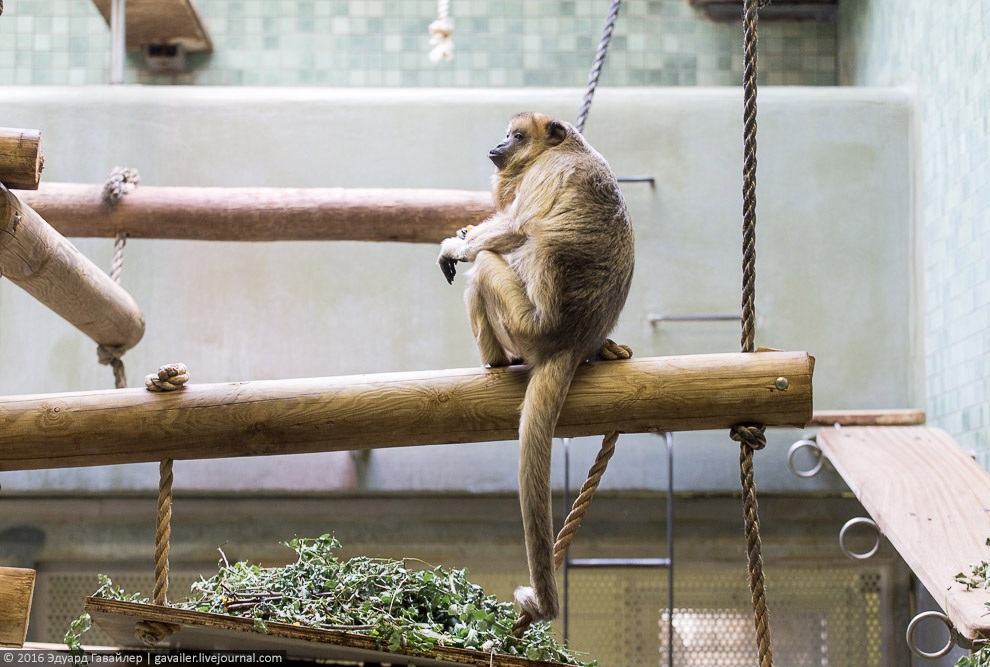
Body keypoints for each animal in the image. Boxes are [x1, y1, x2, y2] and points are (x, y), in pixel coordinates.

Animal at [436, 112, 636, 624]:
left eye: (517, 135)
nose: (497, 144)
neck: (564, 148)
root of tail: (573, 339)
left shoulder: (545, 173)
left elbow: (514, 228)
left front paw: (455, 245)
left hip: (522, 323)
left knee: (485, 267)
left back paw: (494, 359)